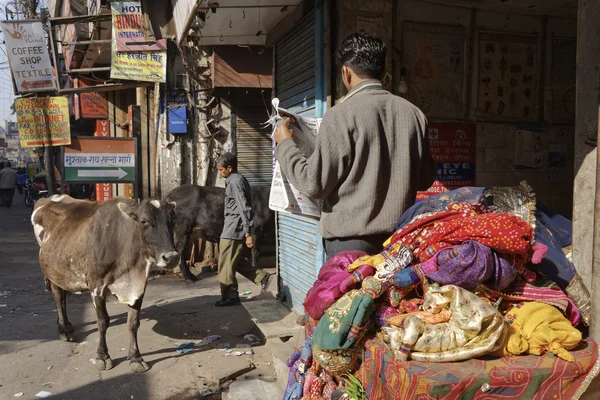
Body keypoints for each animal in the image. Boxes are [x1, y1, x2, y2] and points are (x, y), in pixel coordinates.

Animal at [31, 194, 179, 372]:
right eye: (144, 221)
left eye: (173, 220)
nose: (171, 258)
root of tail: (49, 197)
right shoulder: (97, 288)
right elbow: (102, 322)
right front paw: (102, 356)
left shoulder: (138, 288)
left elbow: (133, 322)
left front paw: (135, 358)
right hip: (54, 273)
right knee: (59, 297)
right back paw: (64, 330)